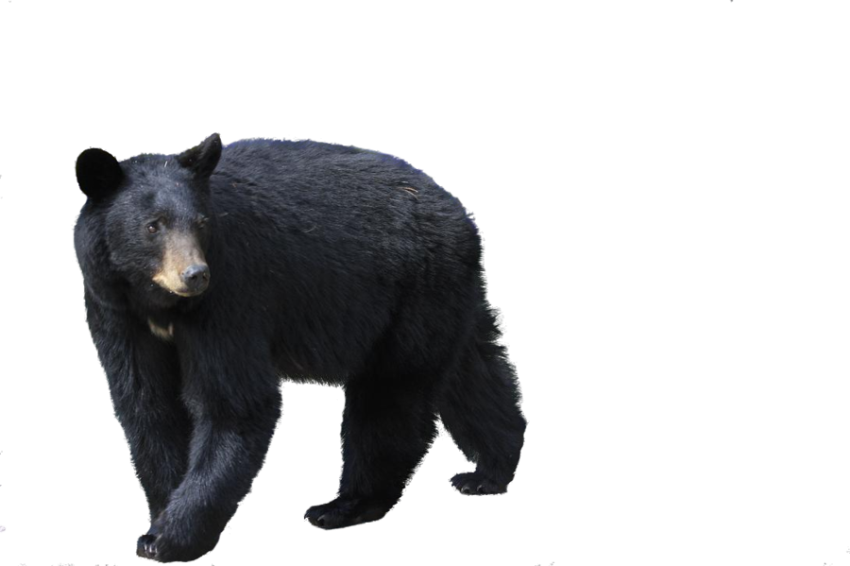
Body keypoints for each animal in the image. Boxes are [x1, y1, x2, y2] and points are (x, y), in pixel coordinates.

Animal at [71, 133, 529, 563]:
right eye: (153, 225)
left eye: (201, 223)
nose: (195, 274)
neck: (160, 304)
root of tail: (465, 216)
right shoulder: (114, 309)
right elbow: (146, 403)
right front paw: (161, 512)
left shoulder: (230, 294)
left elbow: (235, 405)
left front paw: (168, 538)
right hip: (448, 298)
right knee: (473, 375)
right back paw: (489, 473)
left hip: (413, 293)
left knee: (390, 399)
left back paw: (343, 506)